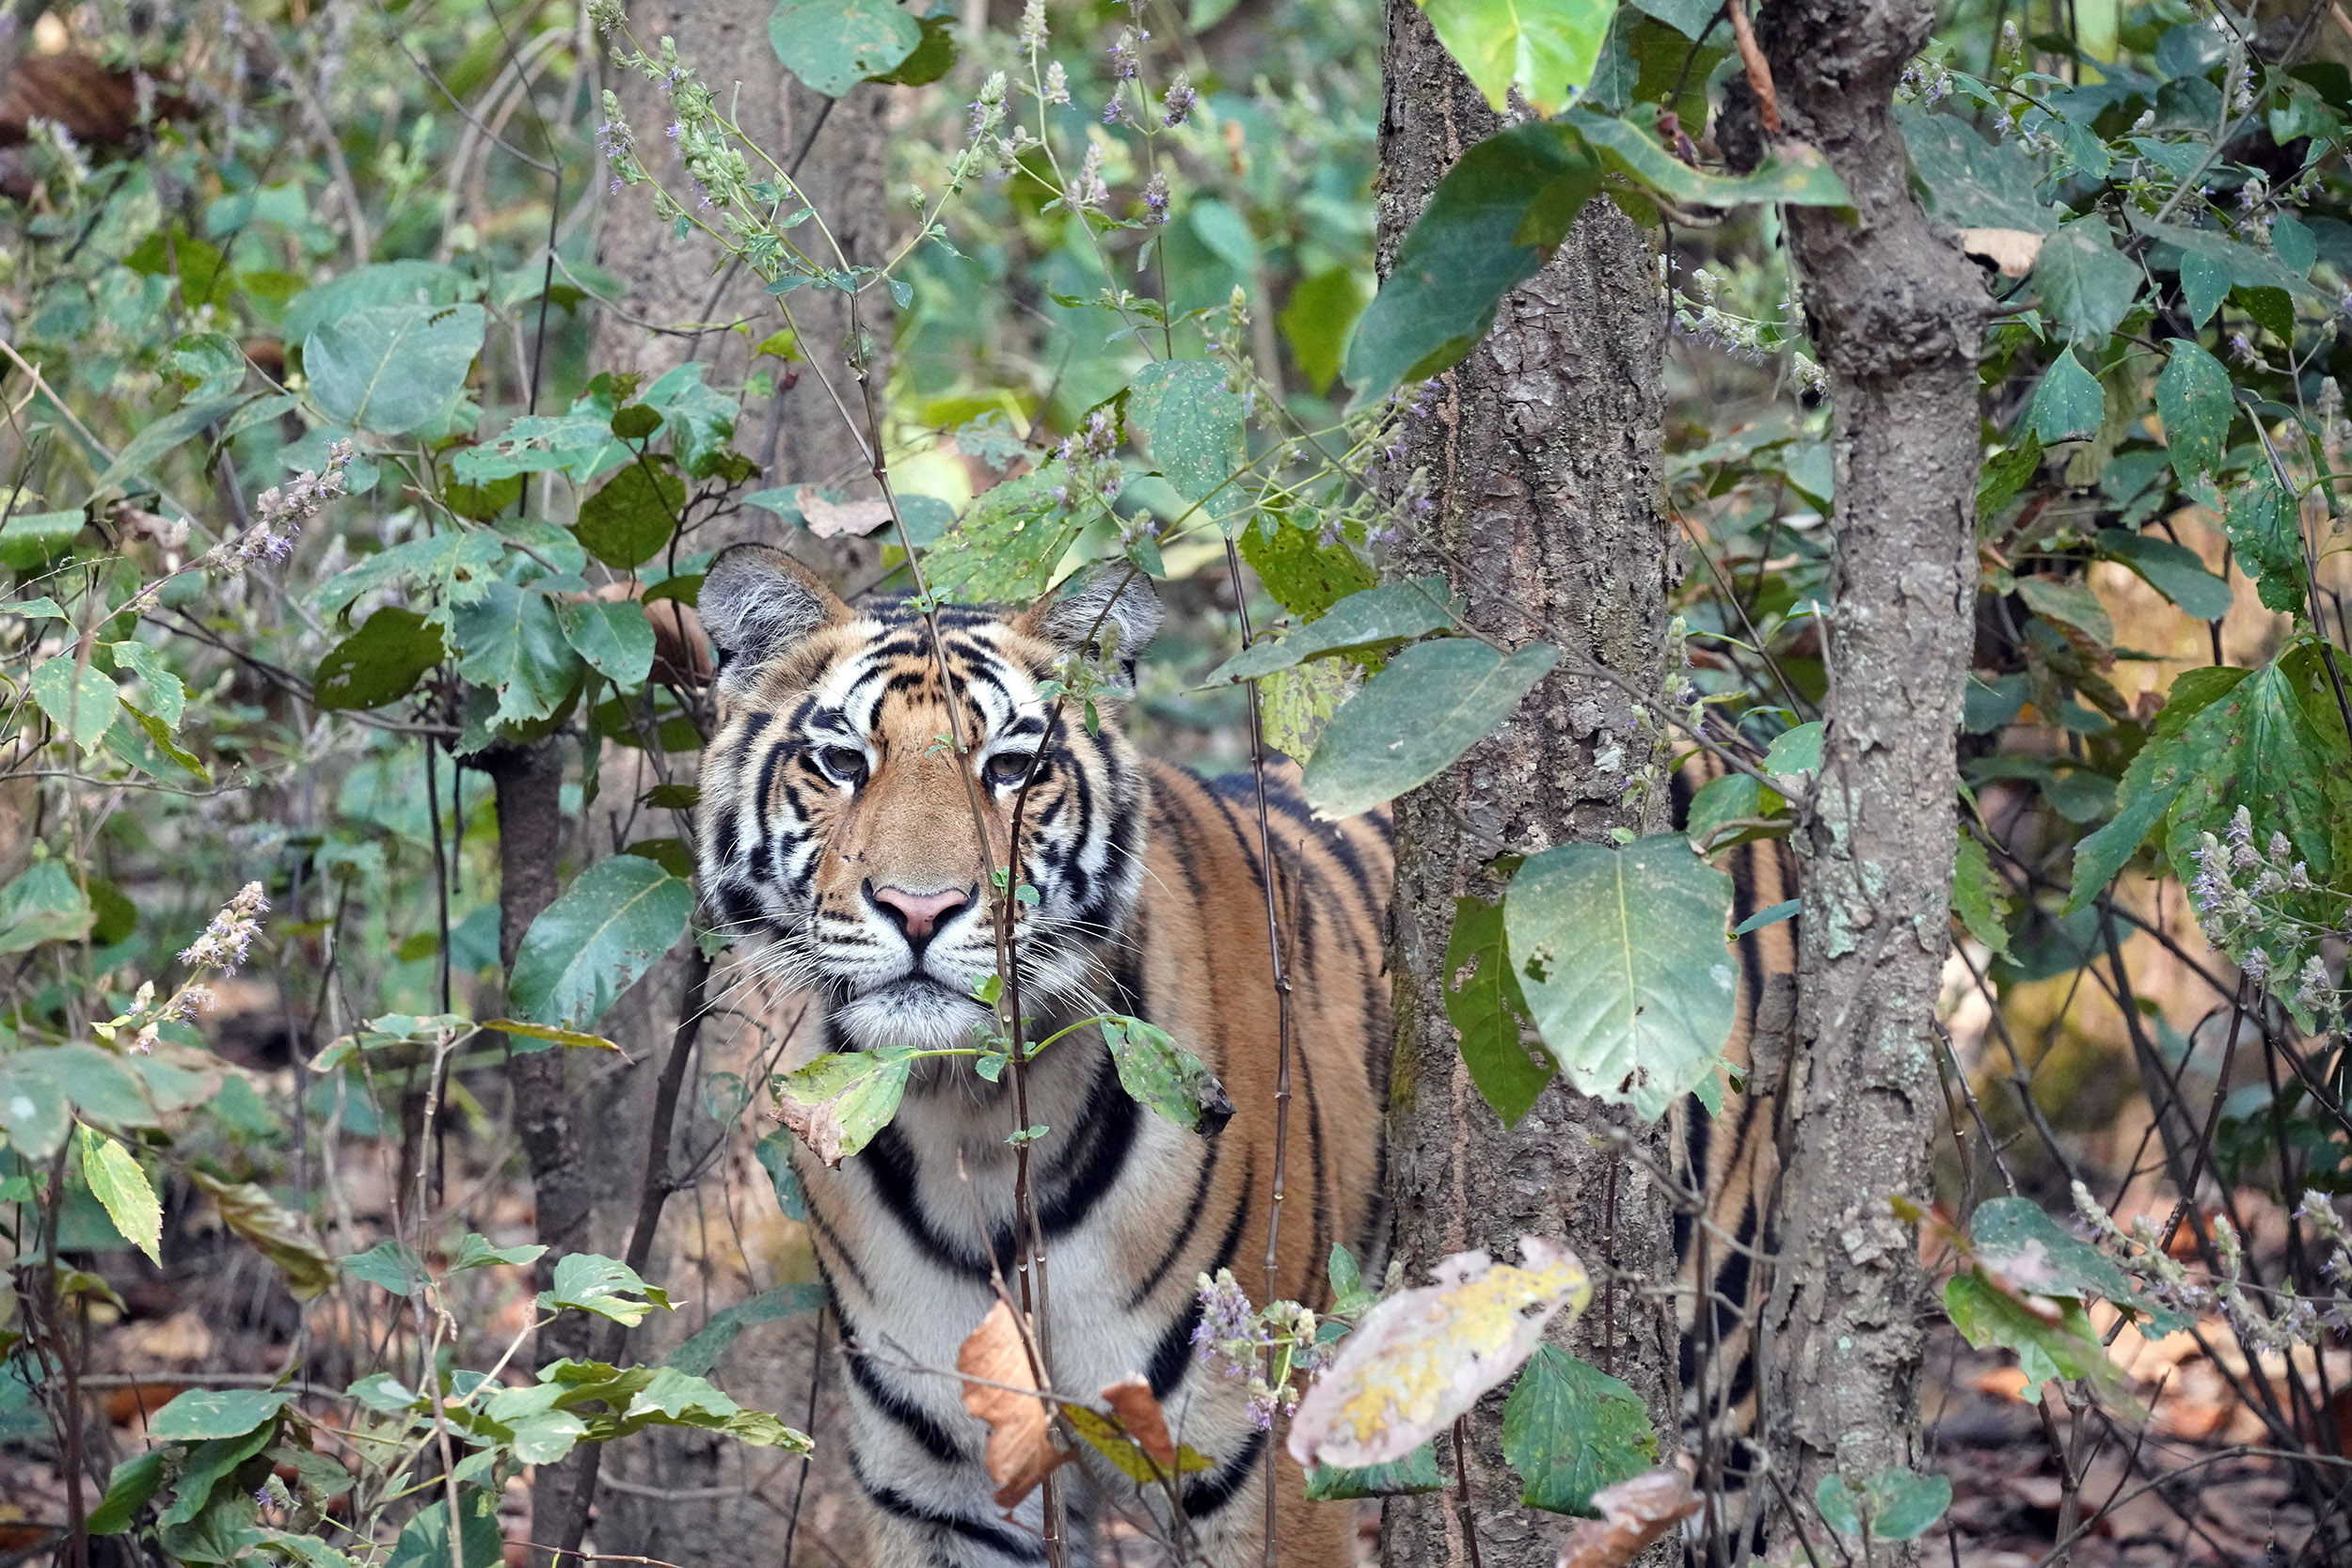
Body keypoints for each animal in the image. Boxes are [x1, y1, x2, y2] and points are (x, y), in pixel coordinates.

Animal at [694, 543, 1393, 1568]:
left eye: (1011, 768)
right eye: (842, 762)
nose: (918, 908)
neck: (969, 1116)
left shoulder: (1263, 1462)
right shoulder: (940, 1487)